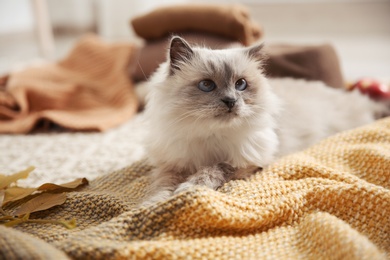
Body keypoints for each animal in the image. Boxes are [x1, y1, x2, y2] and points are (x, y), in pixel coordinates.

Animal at [140, 35, 386, 206]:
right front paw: (154, 204)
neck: (211, 135)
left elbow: (213, 169)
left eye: (240, 84)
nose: (231, 101)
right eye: (207, 85)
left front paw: (189, 188)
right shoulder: (171, 165)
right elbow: (161, 187)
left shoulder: (247, 163)